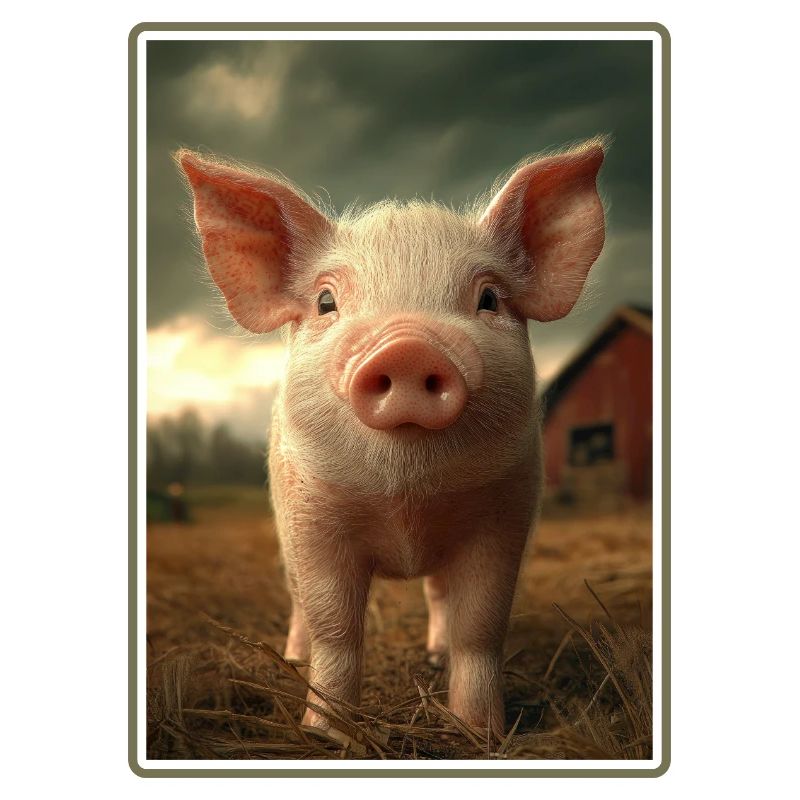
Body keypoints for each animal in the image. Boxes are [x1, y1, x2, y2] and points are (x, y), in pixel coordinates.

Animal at [177, 138, 606, 739]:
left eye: (489, 298)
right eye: (326, 302)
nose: (407, 346)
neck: (406, 502)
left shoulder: (503, 515)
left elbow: (480, 626)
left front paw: (480, 734)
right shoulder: (313, 518)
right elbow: (336, 628)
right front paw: (326, 735)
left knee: (439, 597)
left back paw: (434, 656)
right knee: (299, 602)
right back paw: (293, 657)